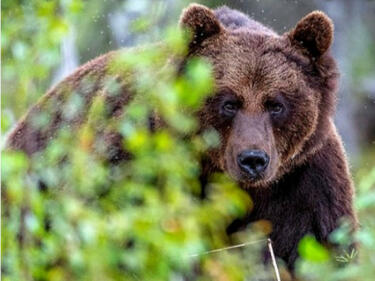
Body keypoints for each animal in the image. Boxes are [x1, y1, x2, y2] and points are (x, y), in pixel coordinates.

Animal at [6, 3, 358, 270]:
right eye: (229, 103)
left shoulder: (304, 181)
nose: (253, 160)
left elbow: (317, 247)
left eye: (276, 104)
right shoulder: (137, 155)